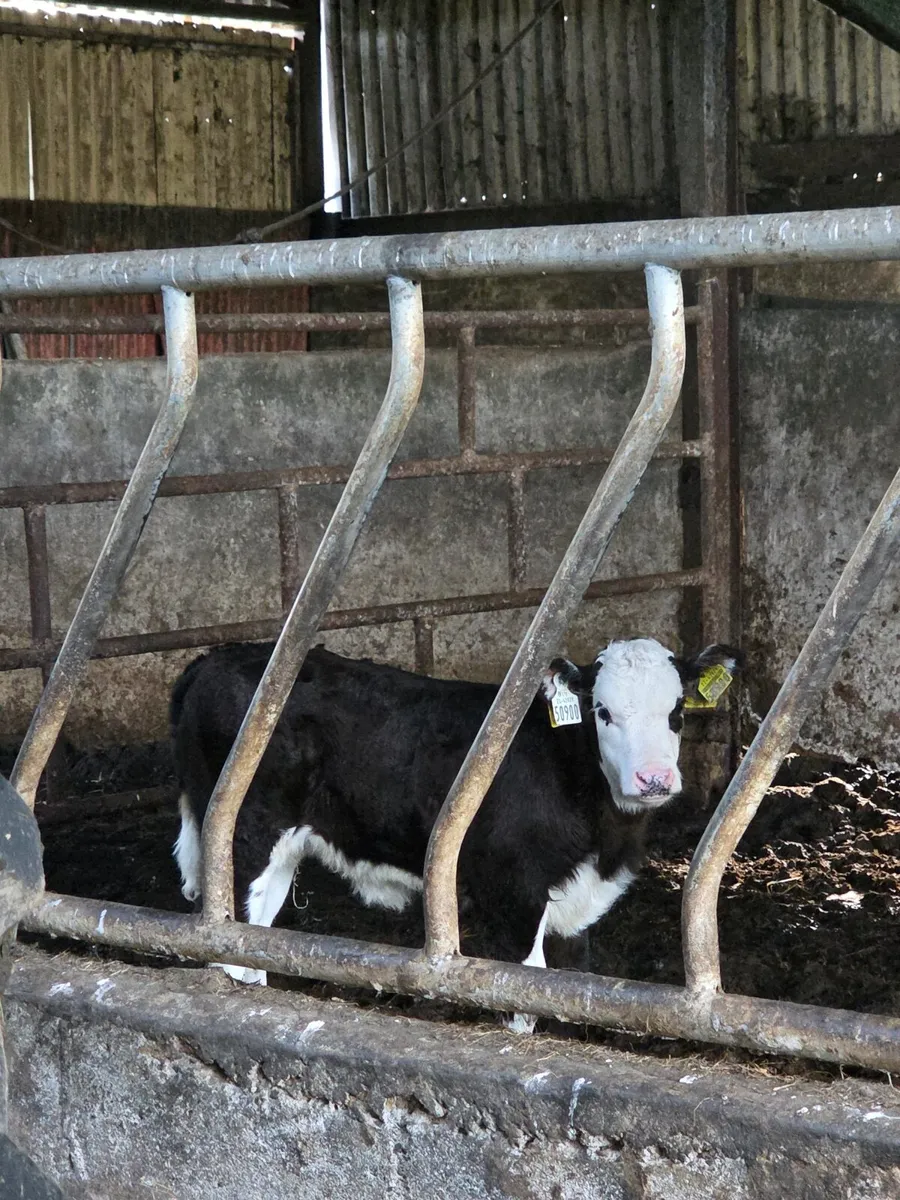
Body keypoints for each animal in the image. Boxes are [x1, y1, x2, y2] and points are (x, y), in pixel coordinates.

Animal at [171, 637, 741, 1022]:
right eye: (602, 711)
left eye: (677, 711)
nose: (654, 779)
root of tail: (213, 658)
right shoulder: (512, 893)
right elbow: (524, 995)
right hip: (244, 832)